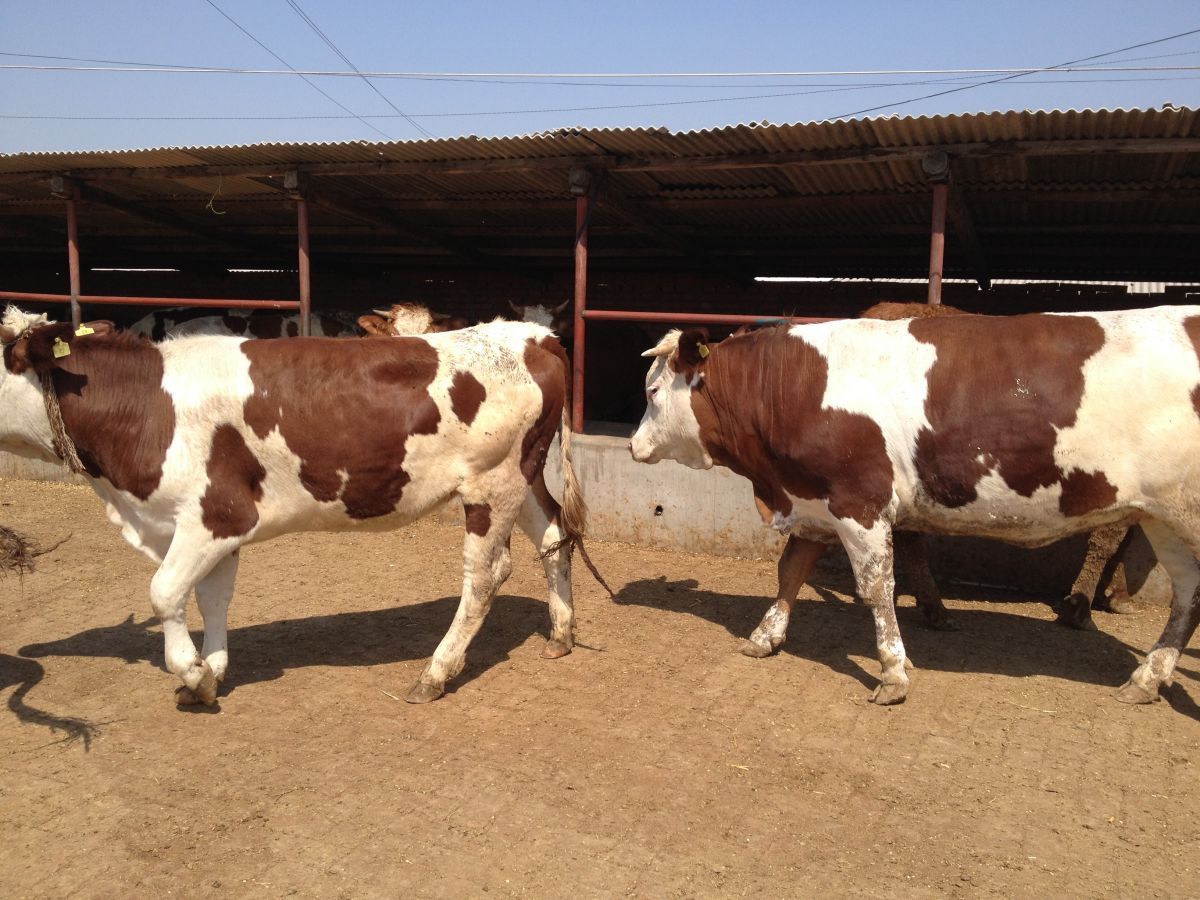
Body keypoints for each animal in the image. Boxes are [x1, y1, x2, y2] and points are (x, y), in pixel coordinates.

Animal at [0, 307, 588, 710]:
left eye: (4, 359)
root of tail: (531, 335)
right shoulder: (211, 528)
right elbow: (213, 597)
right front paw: (213, 669)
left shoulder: (218, 513)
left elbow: (165, 593)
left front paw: (191, 672)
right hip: (523, 477)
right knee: (554, 535)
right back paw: (560, 634)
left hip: (493, 483)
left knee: (486, 574)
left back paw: (436, 672)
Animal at [628, 307, 1200, 710]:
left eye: (653, 391)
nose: (633, 445)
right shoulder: (815, 498)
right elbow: (791, 570)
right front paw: (765, 636)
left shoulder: (859, 499)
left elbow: (877, 589)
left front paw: (892, 673)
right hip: (1164, 518)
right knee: (1188, 597)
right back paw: (1146, 679)